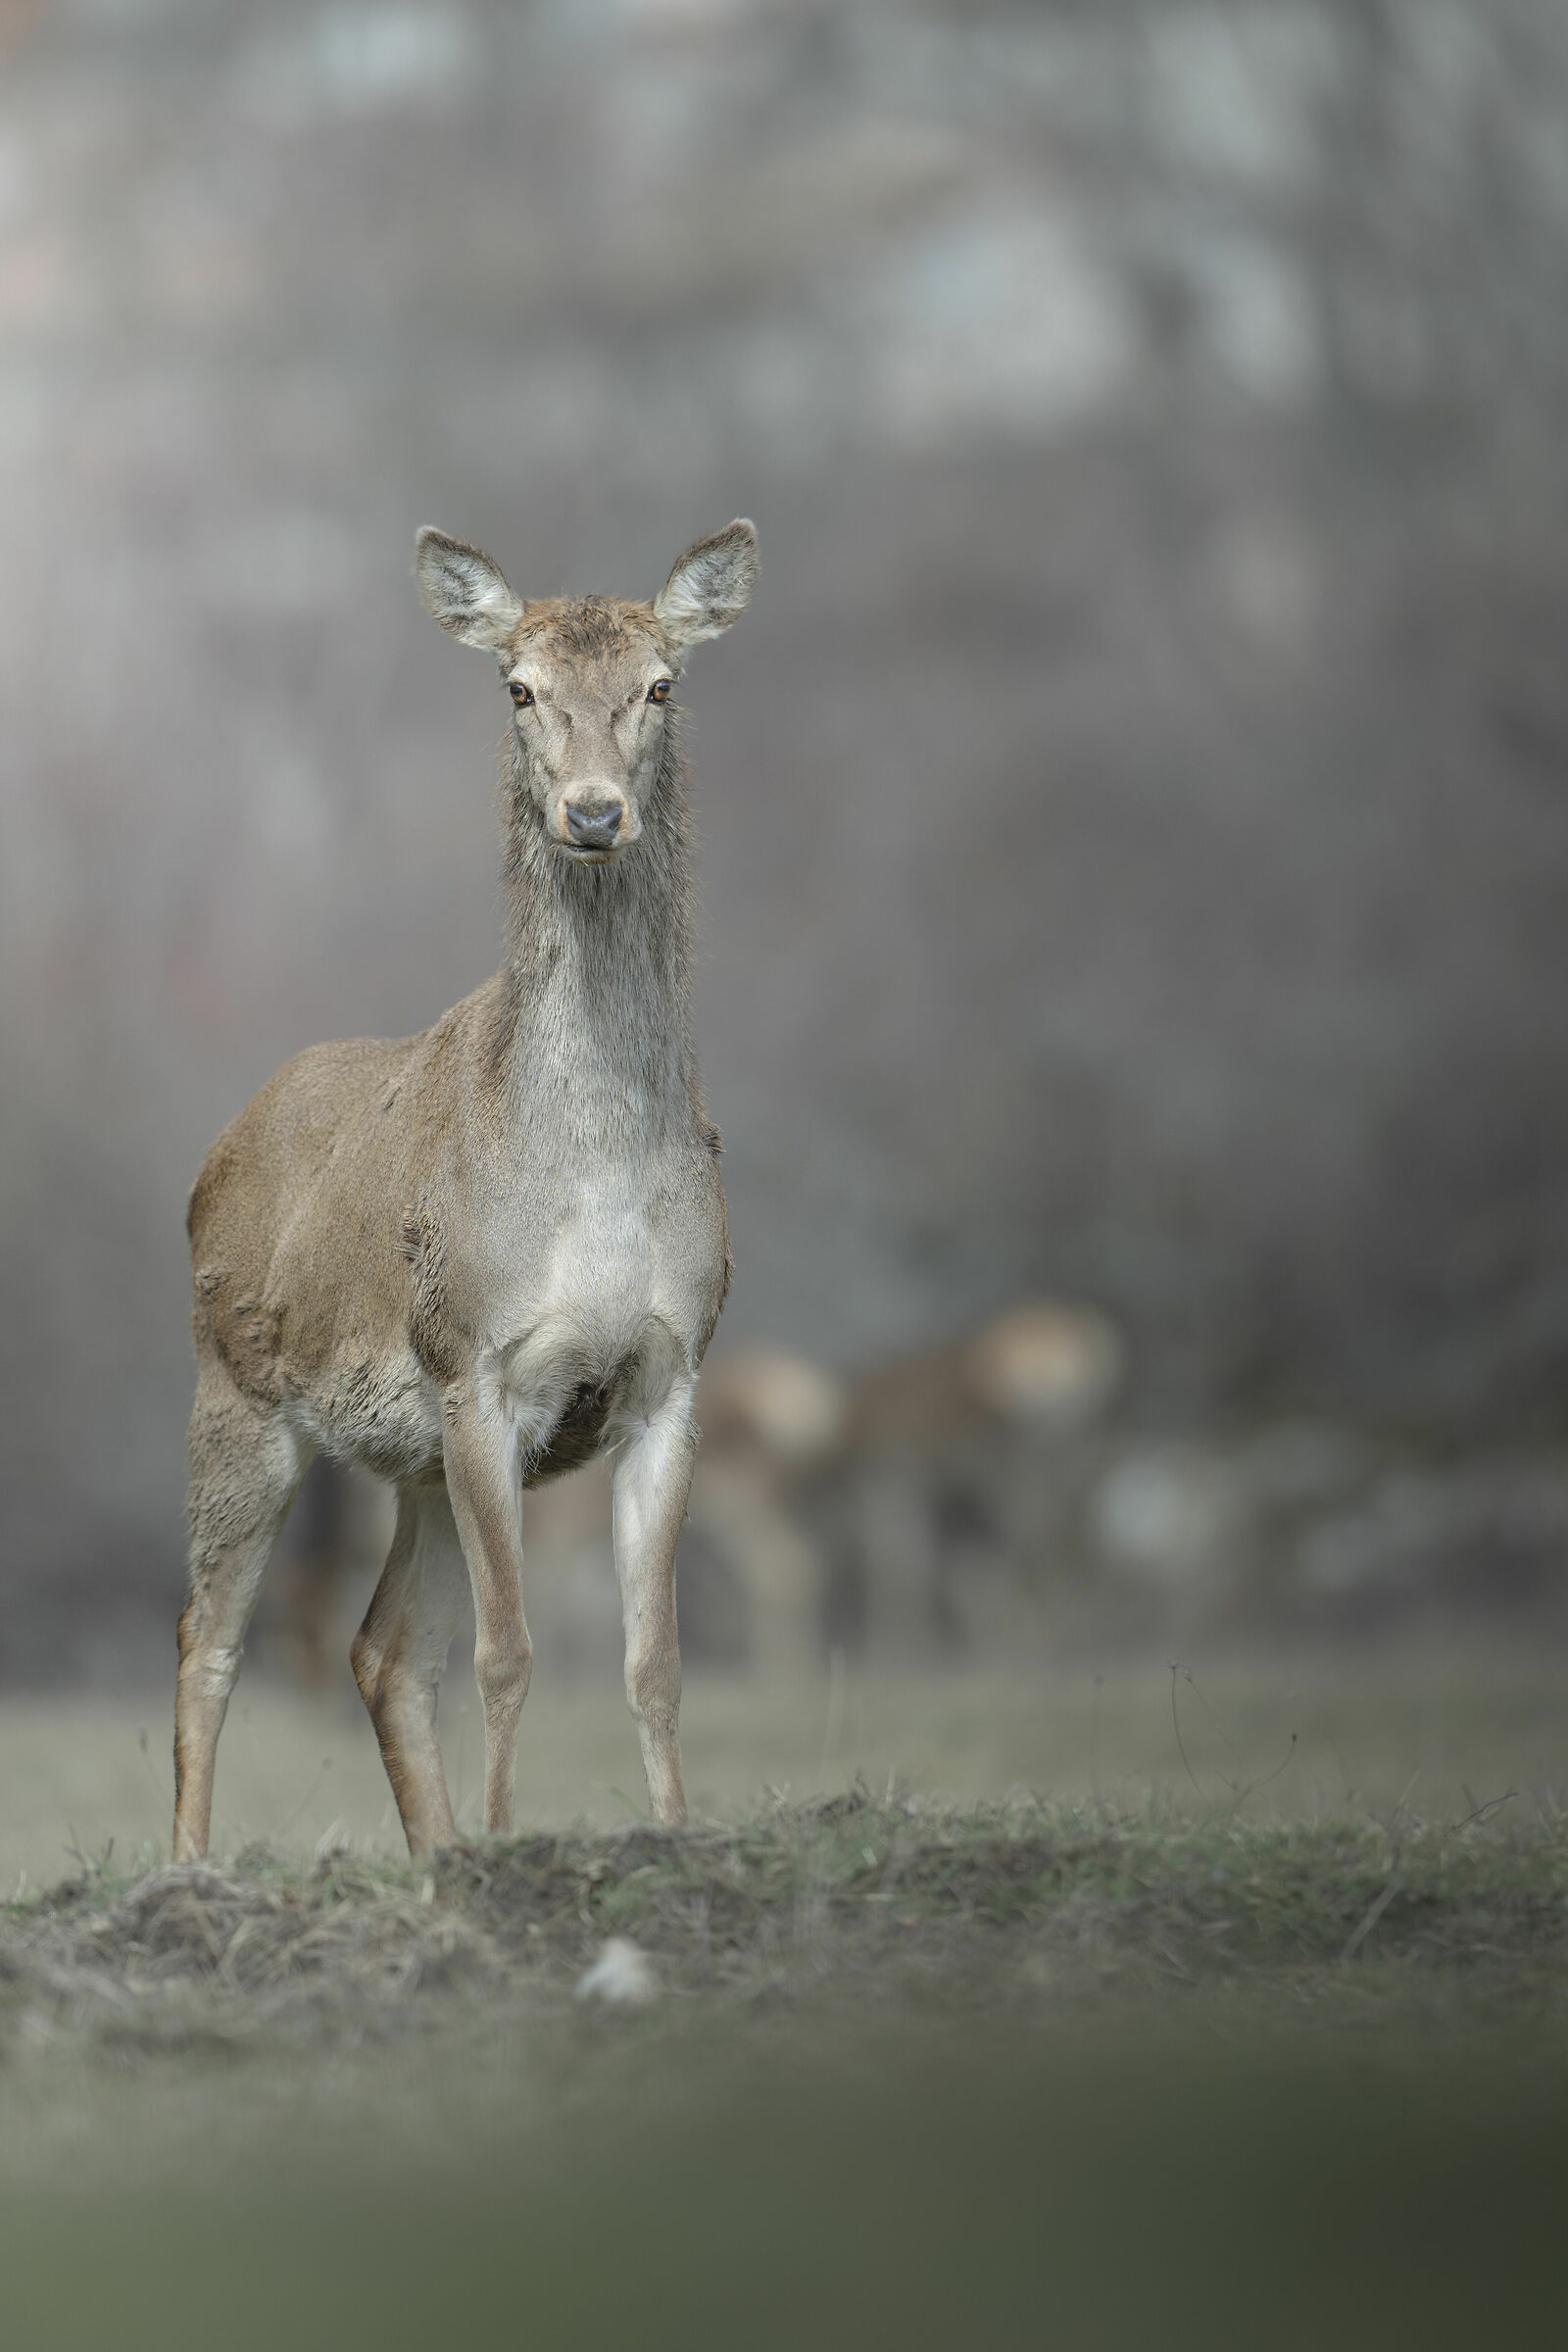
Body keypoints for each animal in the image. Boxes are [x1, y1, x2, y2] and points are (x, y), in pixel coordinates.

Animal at [172, 517, 758, 1861]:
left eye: (662, 685)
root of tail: (215, 1153)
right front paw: (505, 1848)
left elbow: (656, 1663)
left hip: (413, 1463)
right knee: (207, 1642)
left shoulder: (671, 1372)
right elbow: (507, 1653)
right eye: (518, 688)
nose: (592, 811)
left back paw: (426, 1849)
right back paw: (187, 1868)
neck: (592, 1178)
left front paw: (669, 1836)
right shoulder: (475, 1363)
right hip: (237, 1390)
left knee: (382, 1650)